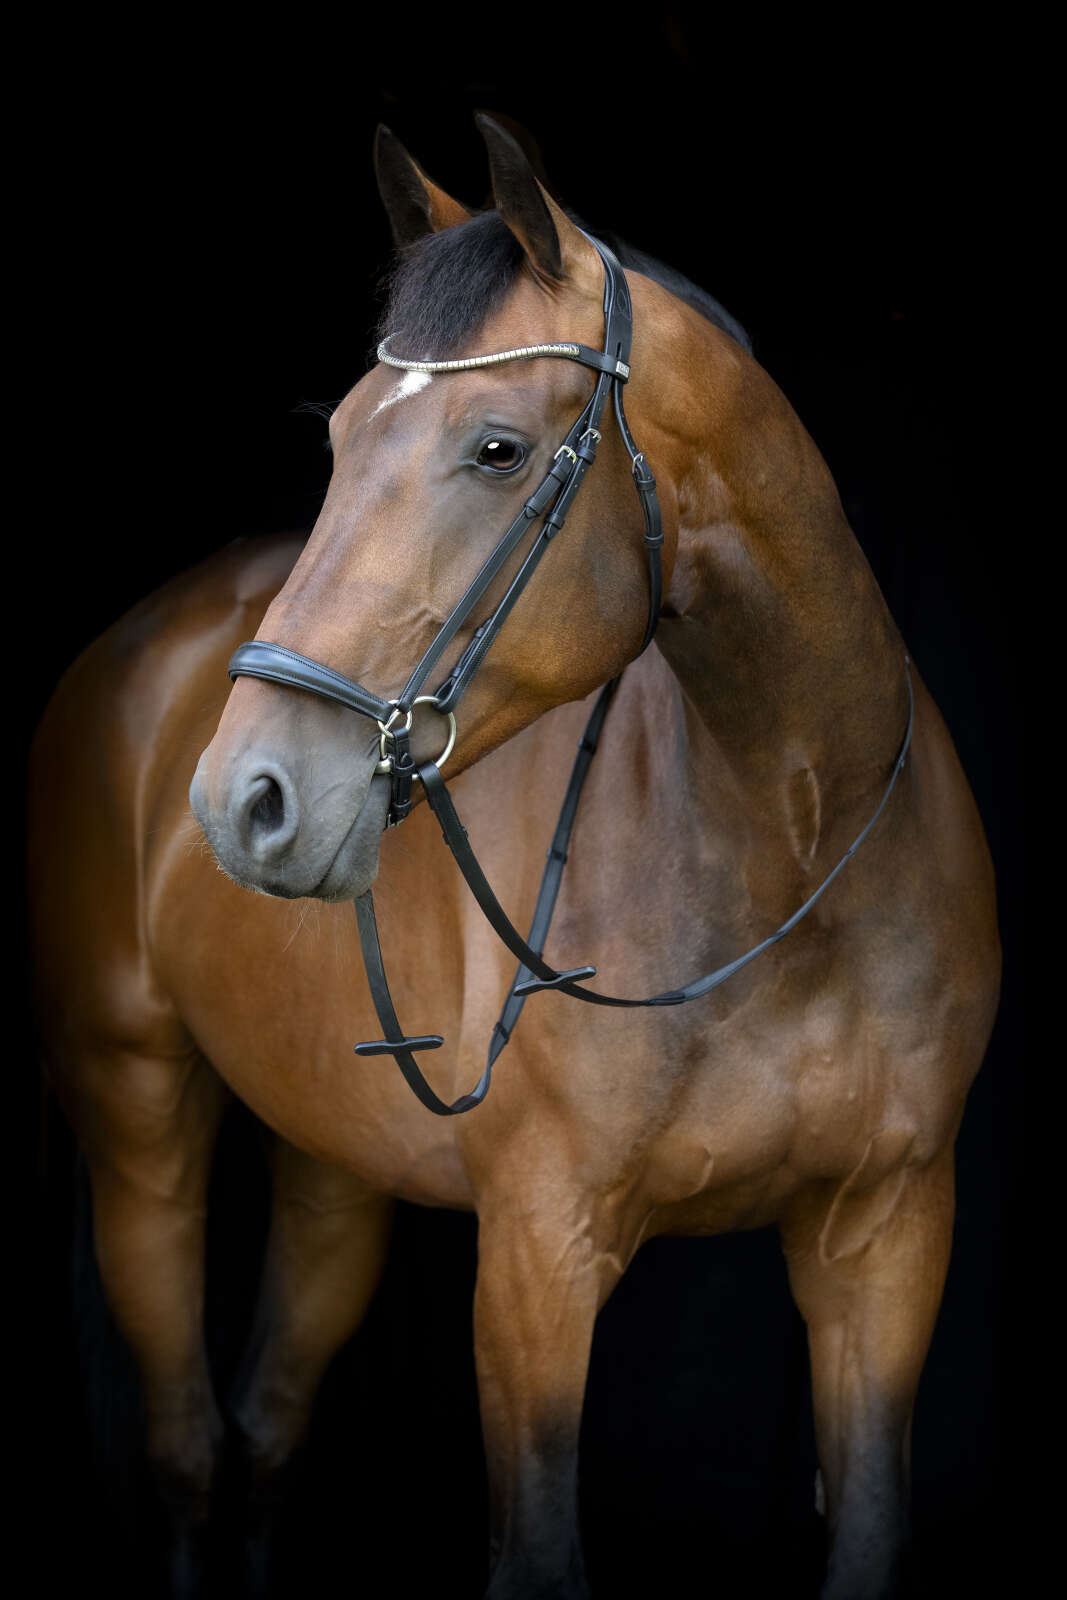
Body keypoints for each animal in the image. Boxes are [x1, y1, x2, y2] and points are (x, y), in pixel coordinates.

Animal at [28, 116, 1000, 1599]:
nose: (243, 799)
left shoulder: (886, 1239)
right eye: (336, 436)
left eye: (494, 447)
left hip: (332, 1157)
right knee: (188, 1449)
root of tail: (139, 646)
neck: (789, 843)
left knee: (265, 1428)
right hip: (138, 1109)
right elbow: (536, 1550)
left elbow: (867, 1533)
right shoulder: (540, 1259)